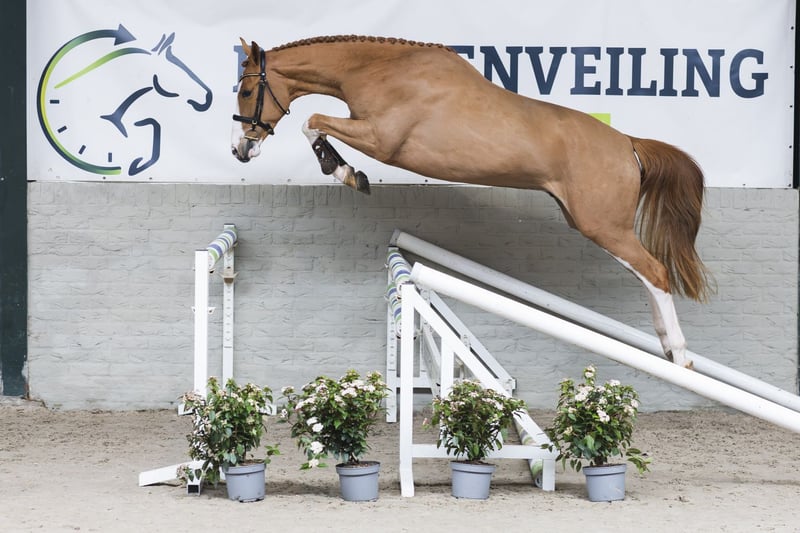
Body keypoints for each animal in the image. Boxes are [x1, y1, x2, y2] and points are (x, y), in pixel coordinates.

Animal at [230, 35, 712, 368]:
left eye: (244, 91)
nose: (241, 150)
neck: (381, 70)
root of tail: (628, 144)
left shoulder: (380, 139)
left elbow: (312, 122)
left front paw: (348, 174)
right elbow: (314, 123)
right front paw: (347, 171)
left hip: (603, 226)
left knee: (655, 271)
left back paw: (680, 354)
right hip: (592, 223)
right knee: (648, 274)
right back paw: (666, 346)